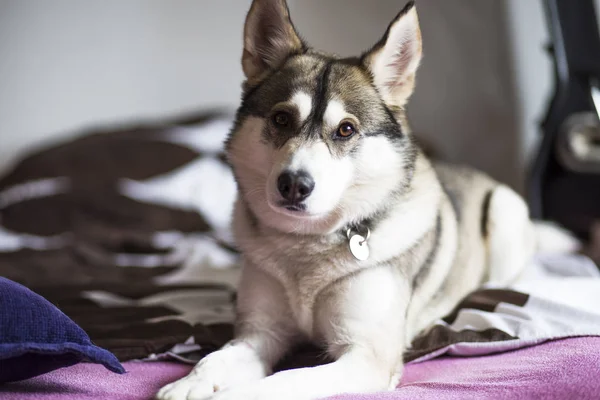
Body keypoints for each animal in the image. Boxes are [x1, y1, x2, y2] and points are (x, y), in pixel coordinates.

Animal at [158, 0, 536, 400]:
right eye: (281, 118)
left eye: (346, 129)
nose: (293, 184)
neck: (306, 248)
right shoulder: (260, 333)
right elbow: (212, 359)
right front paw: (188, 383)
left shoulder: (366, 357)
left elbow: (286, 380)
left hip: (504, 212)